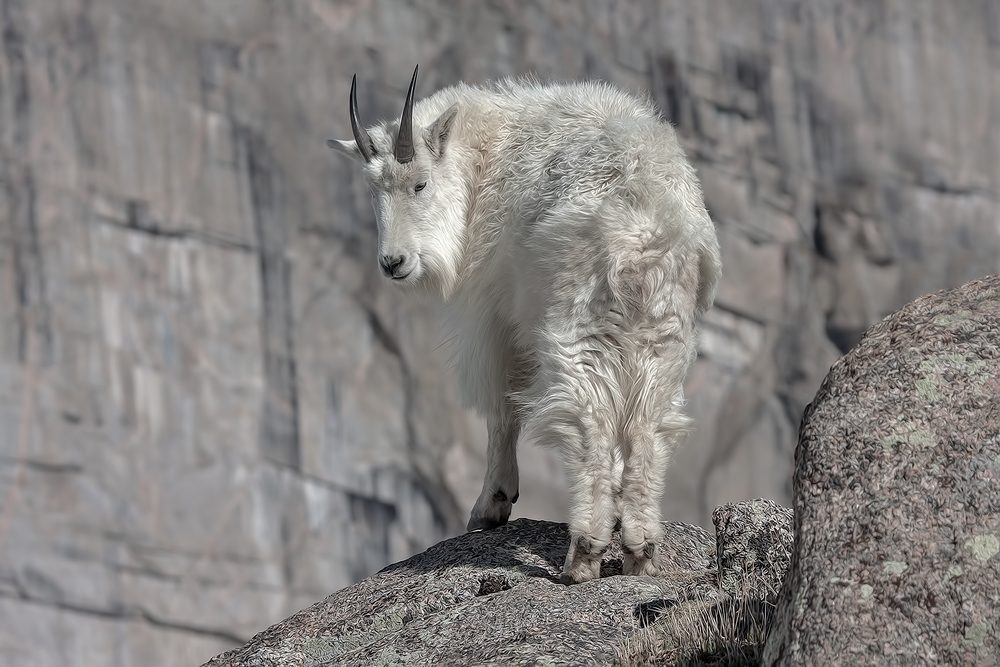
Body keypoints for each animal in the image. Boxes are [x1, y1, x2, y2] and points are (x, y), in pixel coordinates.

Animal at [332, 65, 724, 580]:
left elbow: (501, 406)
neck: (484, 157)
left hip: (576, 322)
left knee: (589, 422)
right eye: (373, 190)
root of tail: (642, 228)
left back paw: (584, 553)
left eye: (419, 184)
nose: (393, 262)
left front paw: (491, 505)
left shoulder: (495, 317)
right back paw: (639, 550)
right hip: (664, 333)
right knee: (647, 426)